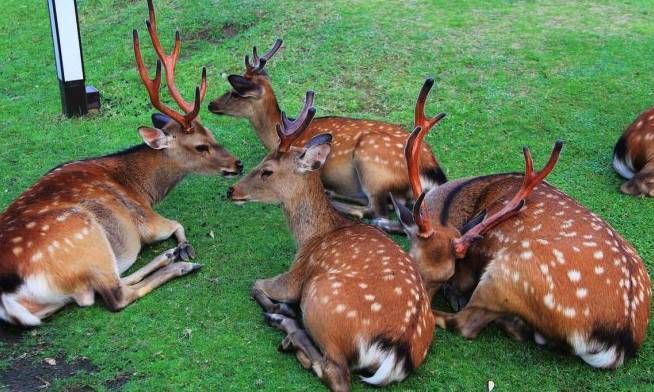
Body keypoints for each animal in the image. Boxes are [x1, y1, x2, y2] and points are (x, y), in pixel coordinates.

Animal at [0, 0, 243, 328]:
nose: (237, 163)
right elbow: (177, 225)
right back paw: (180, 264)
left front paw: (178, 250)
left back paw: (170, 258)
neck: (140, 187)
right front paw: (184, 248)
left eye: (212, 134)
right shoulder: (145, 219)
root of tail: (9, 299)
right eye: (200, 146)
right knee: (115, 295)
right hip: (88, 240)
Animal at [211, 39, 452, 233]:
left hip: (371, 163)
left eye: (235, 93)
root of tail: (433, 172)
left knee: (377, 211)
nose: (211, 104)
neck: (276, 133)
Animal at [228, 90, 438, 390]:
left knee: (336, 372)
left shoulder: (295, 276)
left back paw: (286, 326)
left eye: (266, 170)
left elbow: (255, 284)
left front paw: (279, 308)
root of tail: (397, 351)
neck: (312, 236)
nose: (231, 190)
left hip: (323, 297)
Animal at [392, 79, 652, 368]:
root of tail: (619, 344)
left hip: (507, 273)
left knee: (466, 324)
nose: (418, 318)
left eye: (447, 274)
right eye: (411, 263)